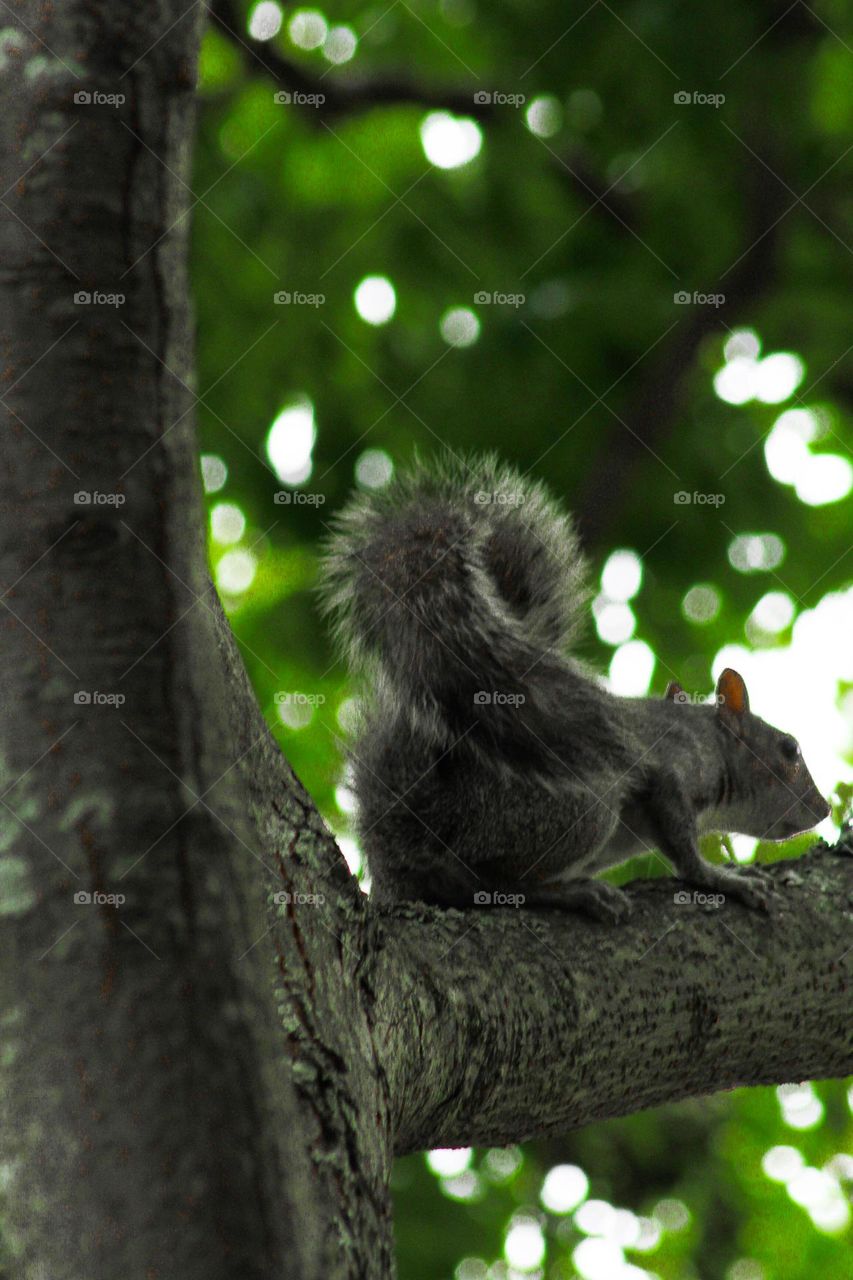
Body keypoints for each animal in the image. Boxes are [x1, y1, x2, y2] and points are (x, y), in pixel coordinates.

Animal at [319, 452, 830, 920]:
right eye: (789, 749)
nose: (823, 809)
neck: (708, 741)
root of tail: (399, 849)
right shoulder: (671, 766)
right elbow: (683, 848)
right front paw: (723, 879)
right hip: (577, 805)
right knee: (494, 884)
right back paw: (574, 894)